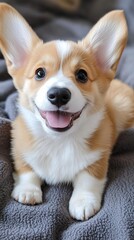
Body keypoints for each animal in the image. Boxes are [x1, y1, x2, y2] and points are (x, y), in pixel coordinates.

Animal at [0, 2, 133, 220]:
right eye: (39, 73)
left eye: (82, 75)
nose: (59, 94)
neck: (58, 141)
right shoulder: (19, 148)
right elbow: (26, 170)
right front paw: (27, 191)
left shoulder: (99, 156)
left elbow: (88, 179)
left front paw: (83, 202)